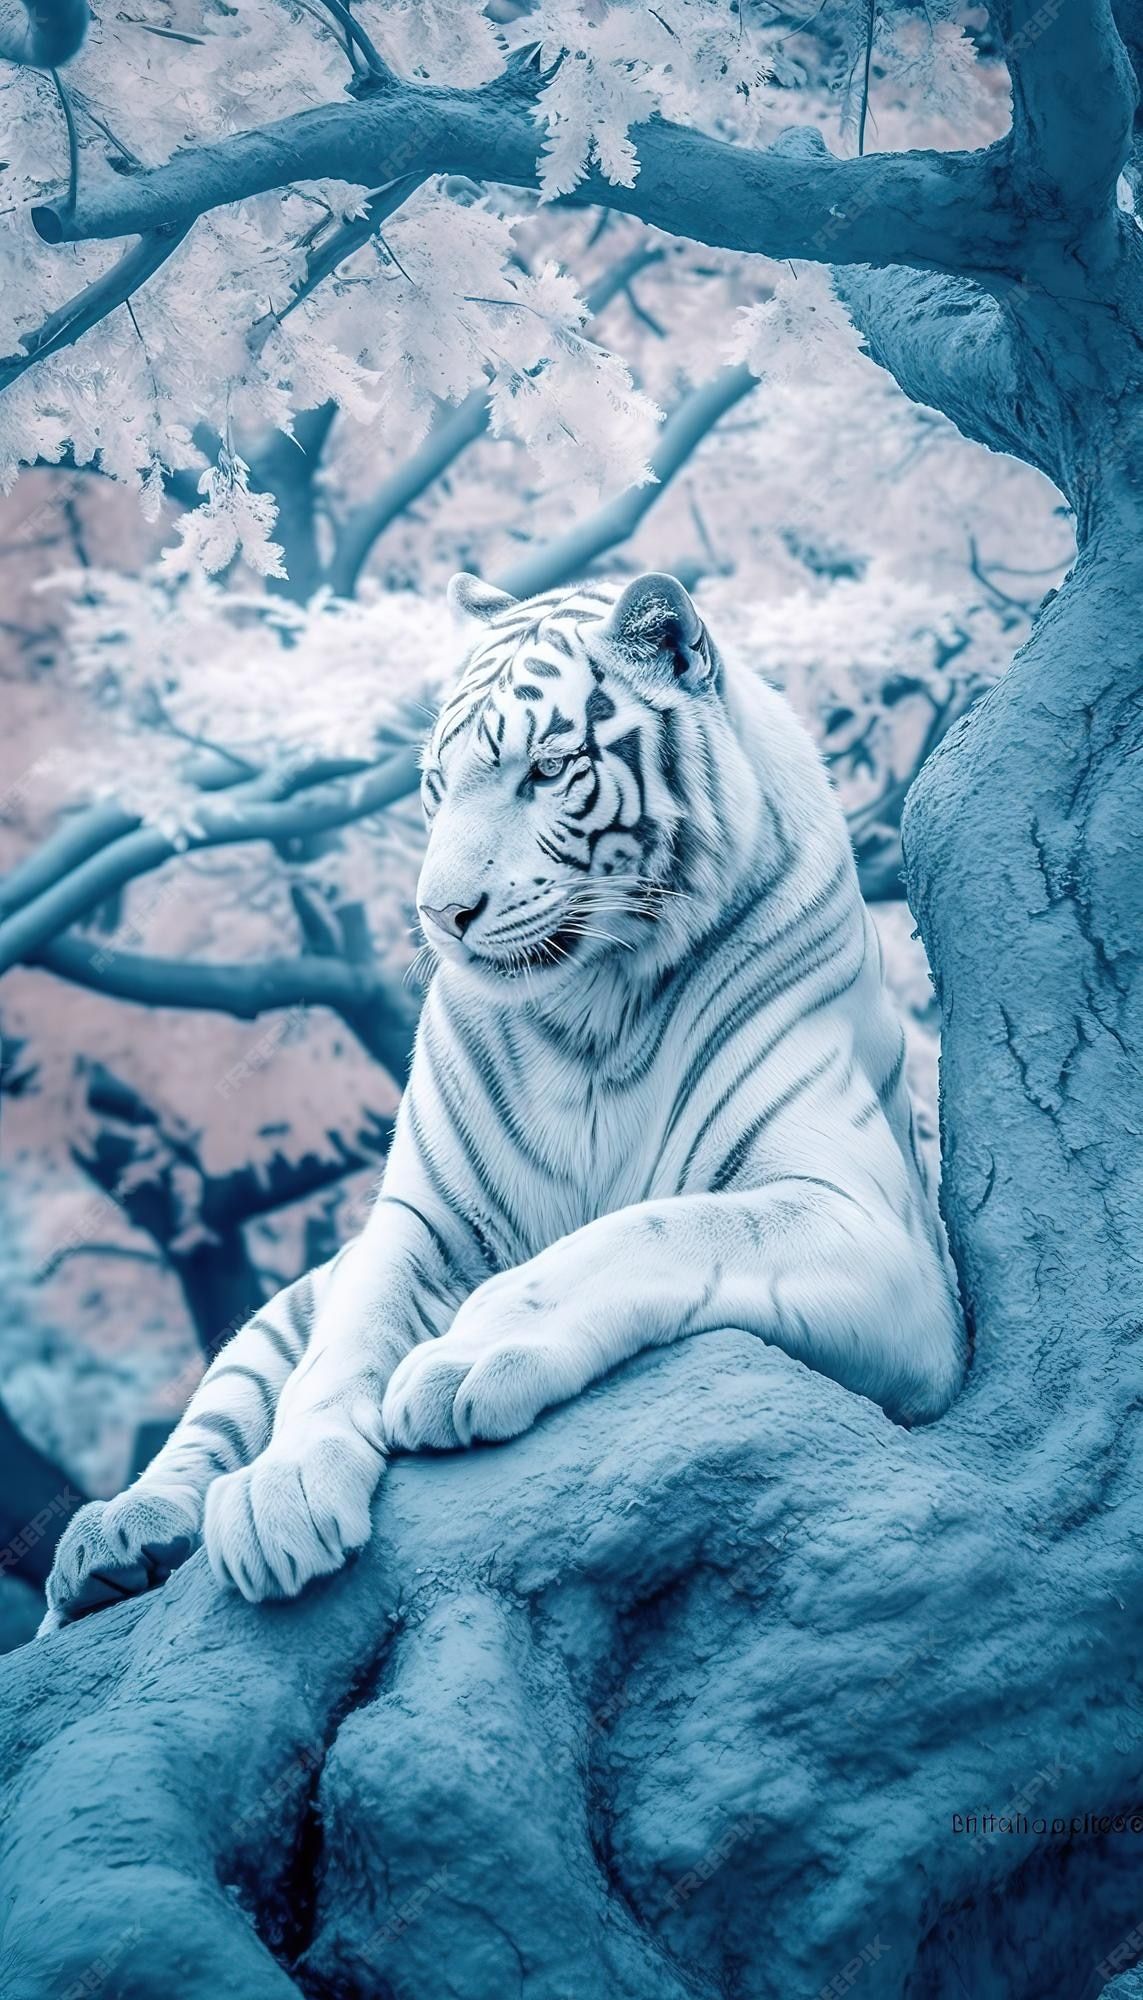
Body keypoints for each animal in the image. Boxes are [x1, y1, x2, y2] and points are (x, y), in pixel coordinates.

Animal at [41, 569, 964, 1630]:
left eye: (547, 769)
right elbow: (342, 1347)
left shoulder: (866, 1223)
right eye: (435, 787)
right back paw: (115, 1541)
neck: (593, 1016)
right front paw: (283, 1490)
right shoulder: (418, 1220)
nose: (441, 915)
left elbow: (647, 1232)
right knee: (209, 1421)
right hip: (272, 1316)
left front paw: (464, 1357)